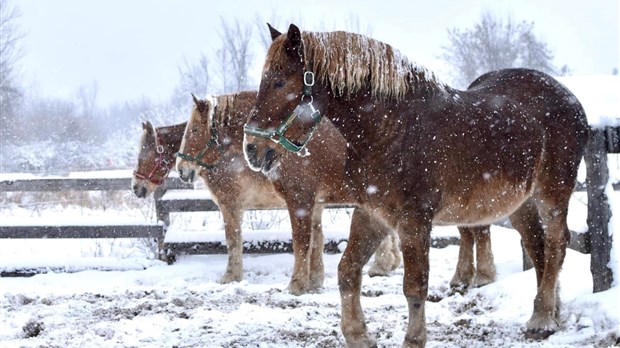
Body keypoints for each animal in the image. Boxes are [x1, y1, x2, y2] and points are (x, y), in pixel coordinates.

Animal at [173, 91, 402, 292]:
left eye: (194, 130)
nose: (181, 169)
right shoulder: (315, 204)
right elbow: (316, 240)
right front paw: (314, 281)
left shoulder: (286, 201)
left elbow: (291, 240)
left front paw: (293, 284)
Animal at [242, 23, 588, 346]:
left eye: (279, 82)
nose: (252, 149)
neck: (391, 129)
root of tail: (570, 99)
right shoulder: (371, 212)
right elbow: (347, 271)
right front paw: (359, 335)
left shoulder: (415, 219)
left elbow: (414, 285)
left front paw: (413, 338)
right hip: (520, 203)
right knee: (538, 249)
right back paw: (551, 314)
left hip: (553, 193)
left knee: (557, 244)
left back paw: (541, 320)